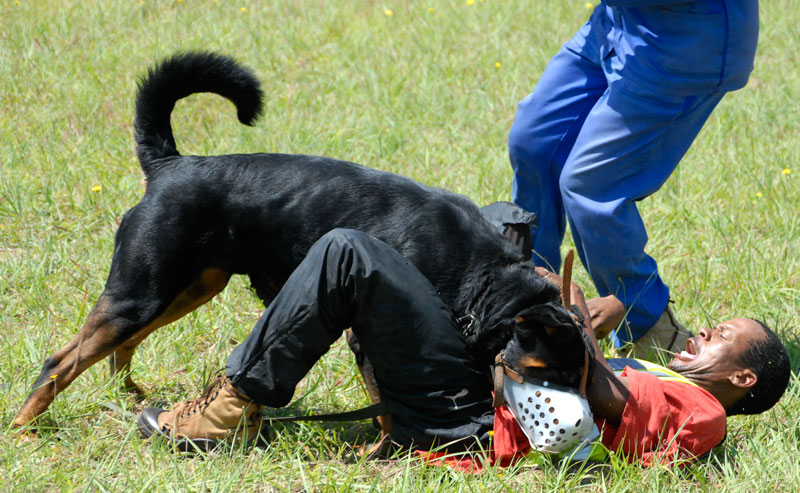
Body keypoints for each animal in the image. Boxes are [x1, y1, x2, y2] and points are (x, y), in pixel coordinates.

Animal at [10, 52, 588, 426]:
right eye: (548, 373)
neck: (482, 275)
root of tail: (171, 165)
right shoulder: (364, 335)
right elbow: (384, 404)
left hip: (188, 287)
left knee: (117, 349)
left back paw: (129, 396)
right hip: (142, 290)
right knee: (61, 361)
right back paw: (24, 428)